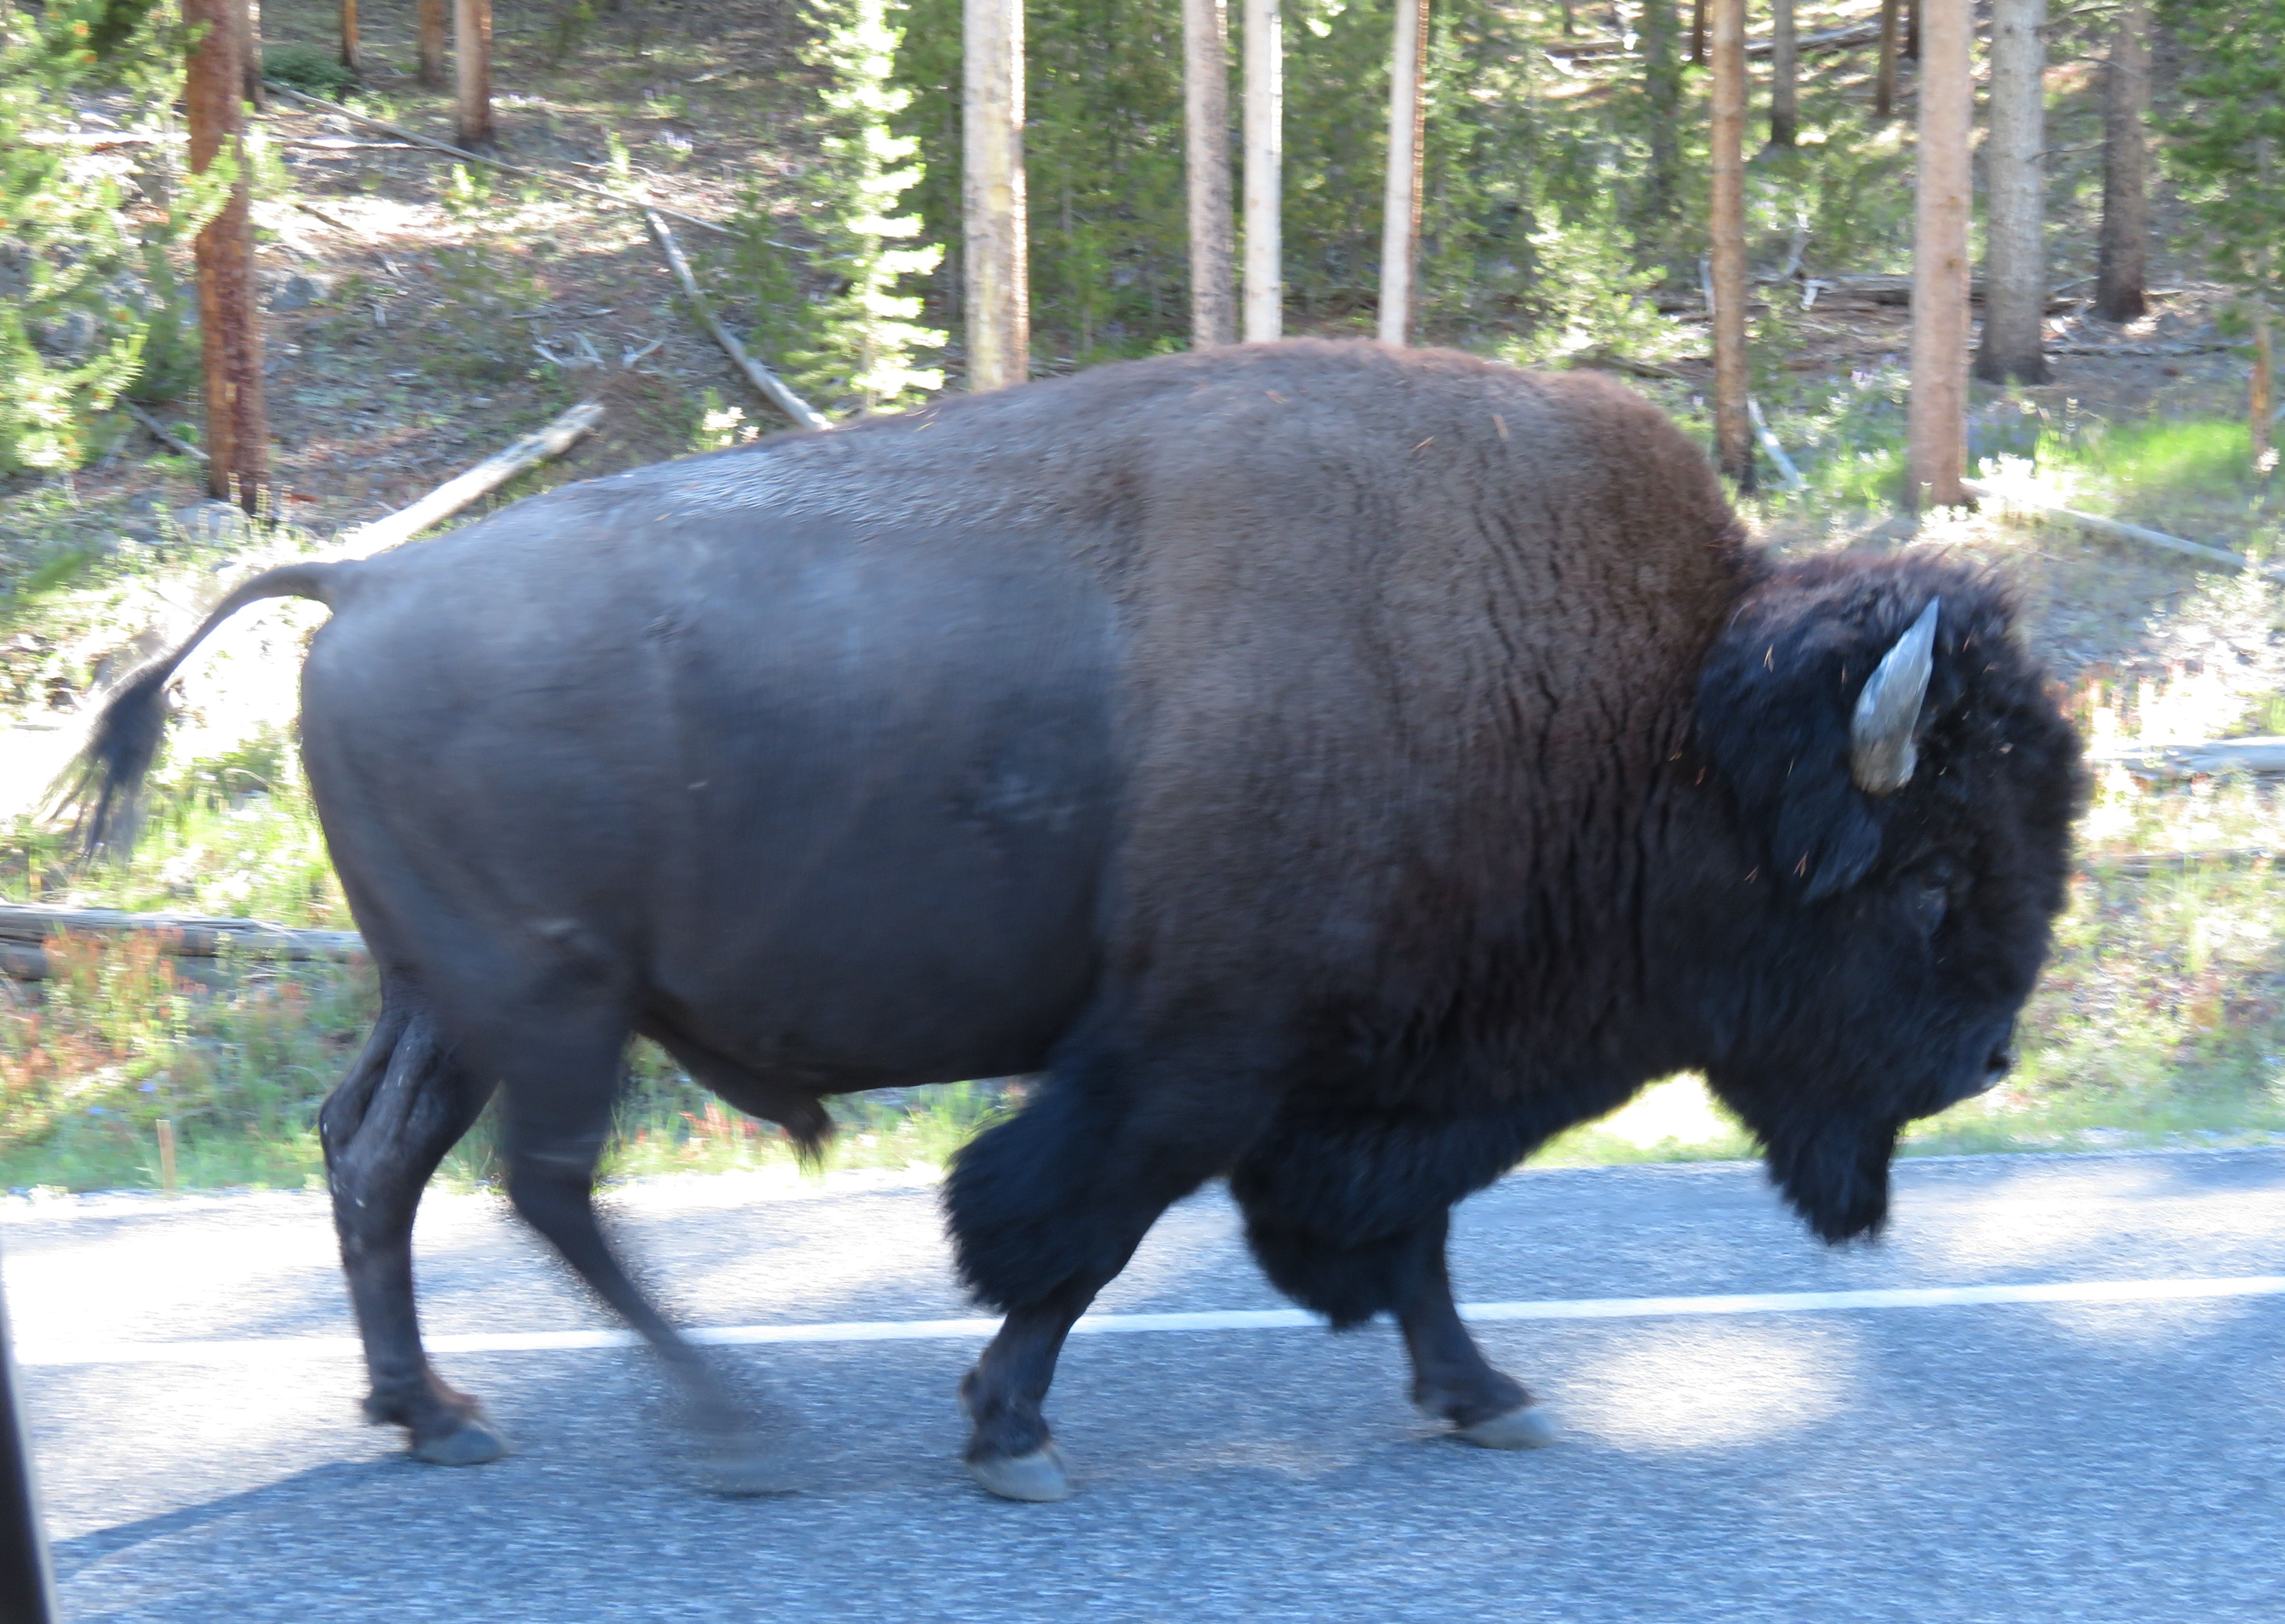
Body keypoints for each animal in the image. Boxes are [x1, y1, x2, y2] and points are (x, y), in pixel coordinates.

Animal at [71, 342, 2081, 1501]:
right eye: (1925, 873)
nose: (1985, 1060)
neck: (1646, 711)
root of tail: (364, 583)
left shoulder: (1370, 1072)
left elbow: (1408, 1236)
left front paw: (1483, 1392)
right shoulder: (1193, 1060)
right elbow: (1071, 1233)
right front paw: (1008, 1436)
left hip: (449, 1003)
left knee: (377, 1158)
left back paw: (435, 1412)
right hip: (555, 1012)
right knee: (538, 1184)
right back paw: (730, 1434)